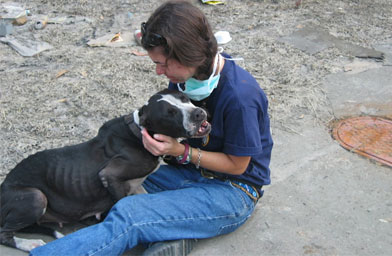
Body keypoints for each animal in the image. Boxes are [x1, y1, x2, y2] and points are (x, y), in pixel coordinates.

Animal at [0, 89, 211, 251]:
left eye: (184, 97)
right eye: (169, 113)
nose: (198, 113)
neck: (139, 132)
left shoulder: (136, 186)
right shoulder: (110, 175)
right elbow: (122, 204)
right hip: (35, 197)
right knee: (4, 233)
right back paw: (29, 244)